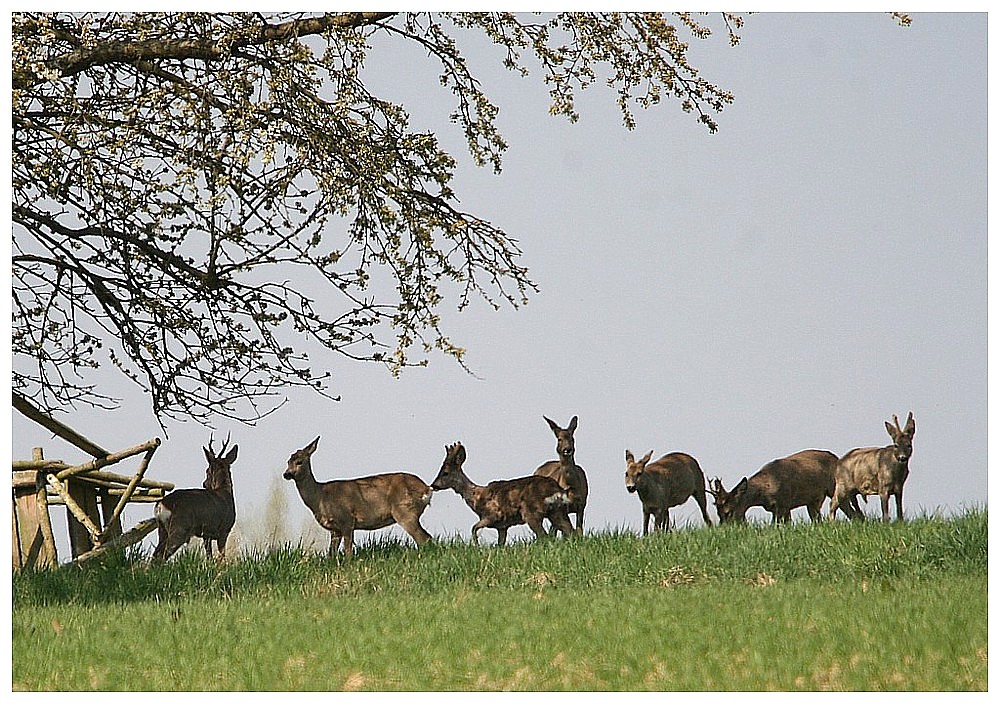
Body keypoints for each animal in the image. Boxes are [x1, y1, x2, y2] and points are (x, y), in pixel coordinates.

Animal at [284, 438, 436, 560]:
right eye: (288, 462)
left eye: (299, 462)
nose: (286, 474)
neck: (320, 497)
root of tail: (427, 488)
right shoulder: (335, 529)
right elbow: (331, 554)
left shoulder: (346, 519)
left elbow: (348, 552)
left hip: (404, 511)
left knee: (424, 538)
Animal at [434, 442, 576, 548]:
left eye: (445, 473)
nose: (434, 485)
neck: (476, 498)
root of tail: (556, 489)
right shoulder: (502, 526)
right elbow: (500, 544)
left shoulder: (492, 515)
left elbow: (473, 528)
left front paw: (477, 547)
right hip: (558, 511)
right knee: (570, 532)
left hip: (531, 512)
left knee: (545, 536)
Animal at [708, 448, 840, 524]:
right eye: (718, 512)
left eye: (728, 512)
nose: (722, 529)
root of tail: (836, 457)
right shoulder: (779, 508)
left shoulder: (783, 503)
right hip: (812, 501)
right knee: (817, 519)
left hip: (833, 487)